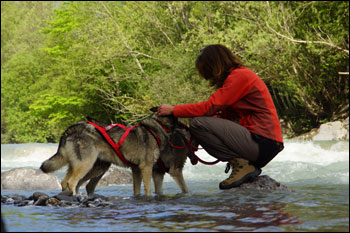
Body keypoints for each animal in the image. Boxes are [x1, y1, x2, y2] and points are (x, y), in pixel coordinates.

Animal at [41, 108, 178, 196]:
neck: (156, 128)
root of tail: (70, 130)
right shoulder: (146, 168)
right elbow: (148, 190)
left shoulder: (136, 170)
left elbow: (137, 191)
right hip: (86, 164)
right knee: (72, 183)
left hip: (91, 167)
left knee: (65, 182)